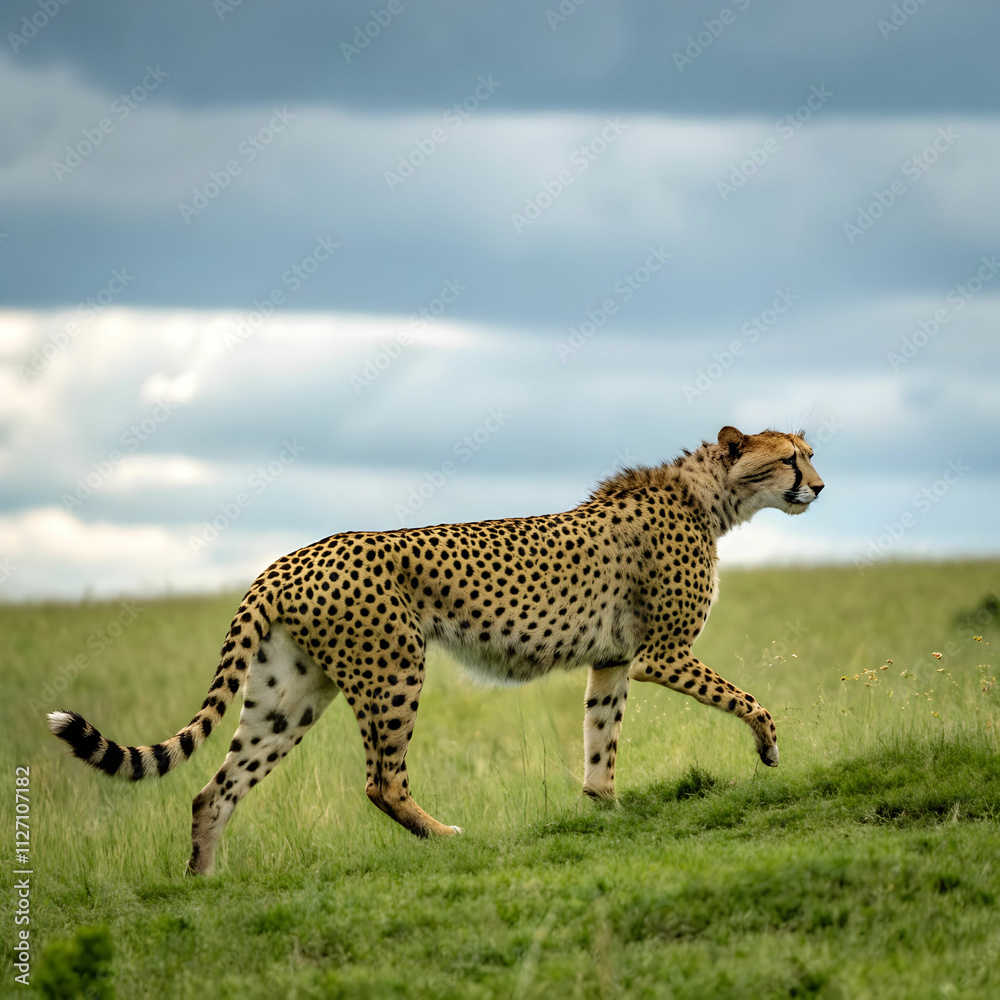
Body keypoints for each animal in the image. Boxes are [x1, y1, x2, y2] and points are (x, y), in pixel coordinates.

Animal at [47, 425, 824, 875]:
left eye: (810, 455)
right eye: (790, 458)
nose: (818, 486)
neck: (707, 497)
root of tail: (290, 557)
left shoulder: (612, 660)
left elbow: (601, 739)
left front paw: (607, 808)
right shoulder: (661, 653)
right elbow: (748, 700)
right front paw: (768, 748)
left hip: (288, 696)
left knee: (214, 789)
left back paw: (206, 887)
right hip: (394, 668)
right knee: (380, 781)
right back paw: (446, 836)